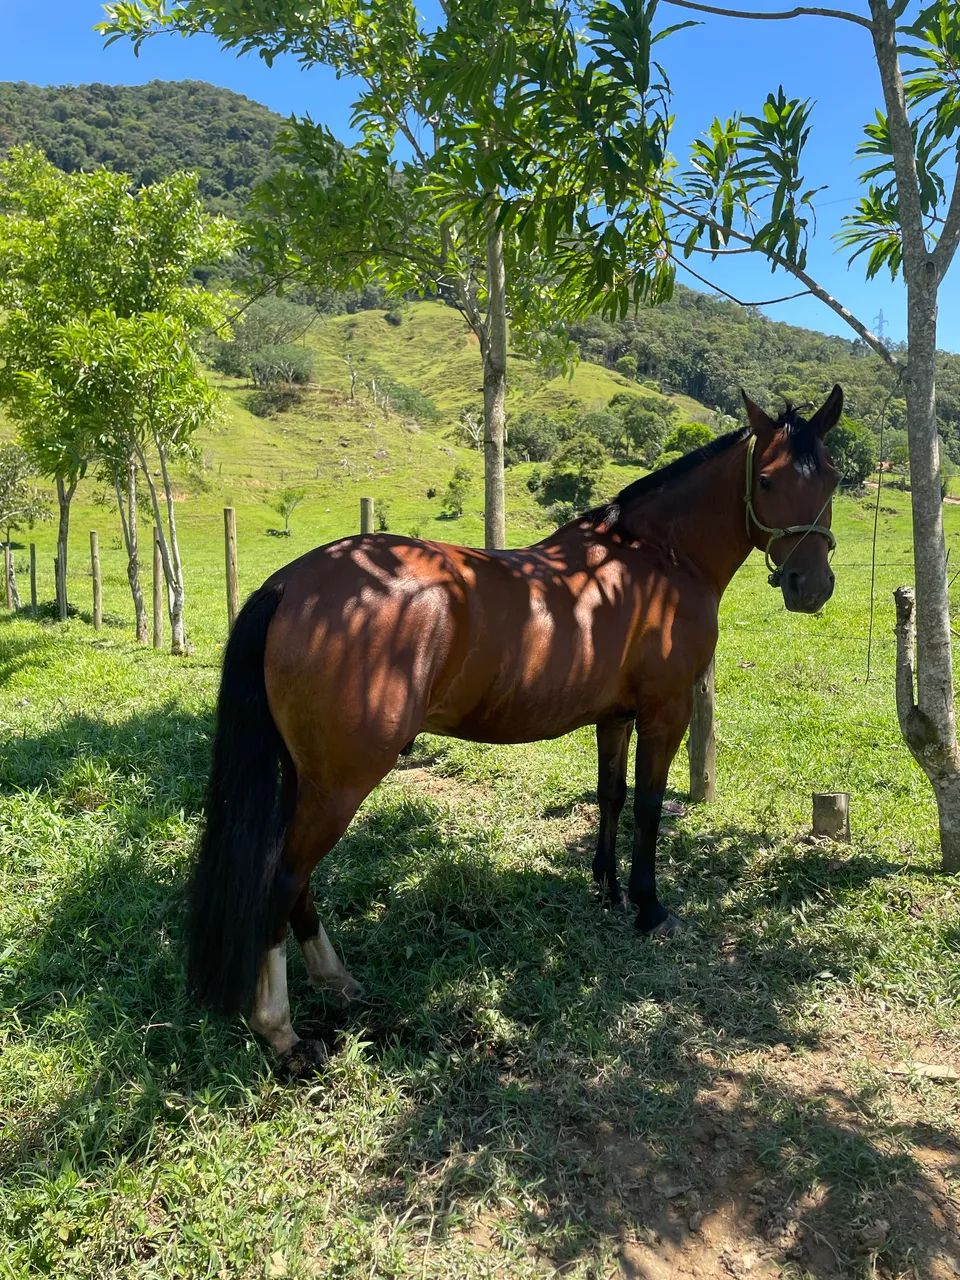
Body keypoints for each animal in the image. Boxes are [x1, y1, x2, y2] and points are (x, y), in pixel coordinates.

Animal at [189, 385, 842, 1074]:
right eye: (766, 480)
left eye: (831, 476)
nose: (810, 586)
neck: (657, 561)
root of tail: (290, 585)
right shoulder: (665, 713)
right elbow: (646, 809)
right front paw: (649, 908)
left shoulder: (615, 717)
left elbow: (611, 798)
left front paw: (607, 890)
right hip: (341, 782)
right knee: (283, 878)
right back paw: (283, 1031)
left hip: (308, 778)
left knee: (298, 881)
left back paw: (336, 980)